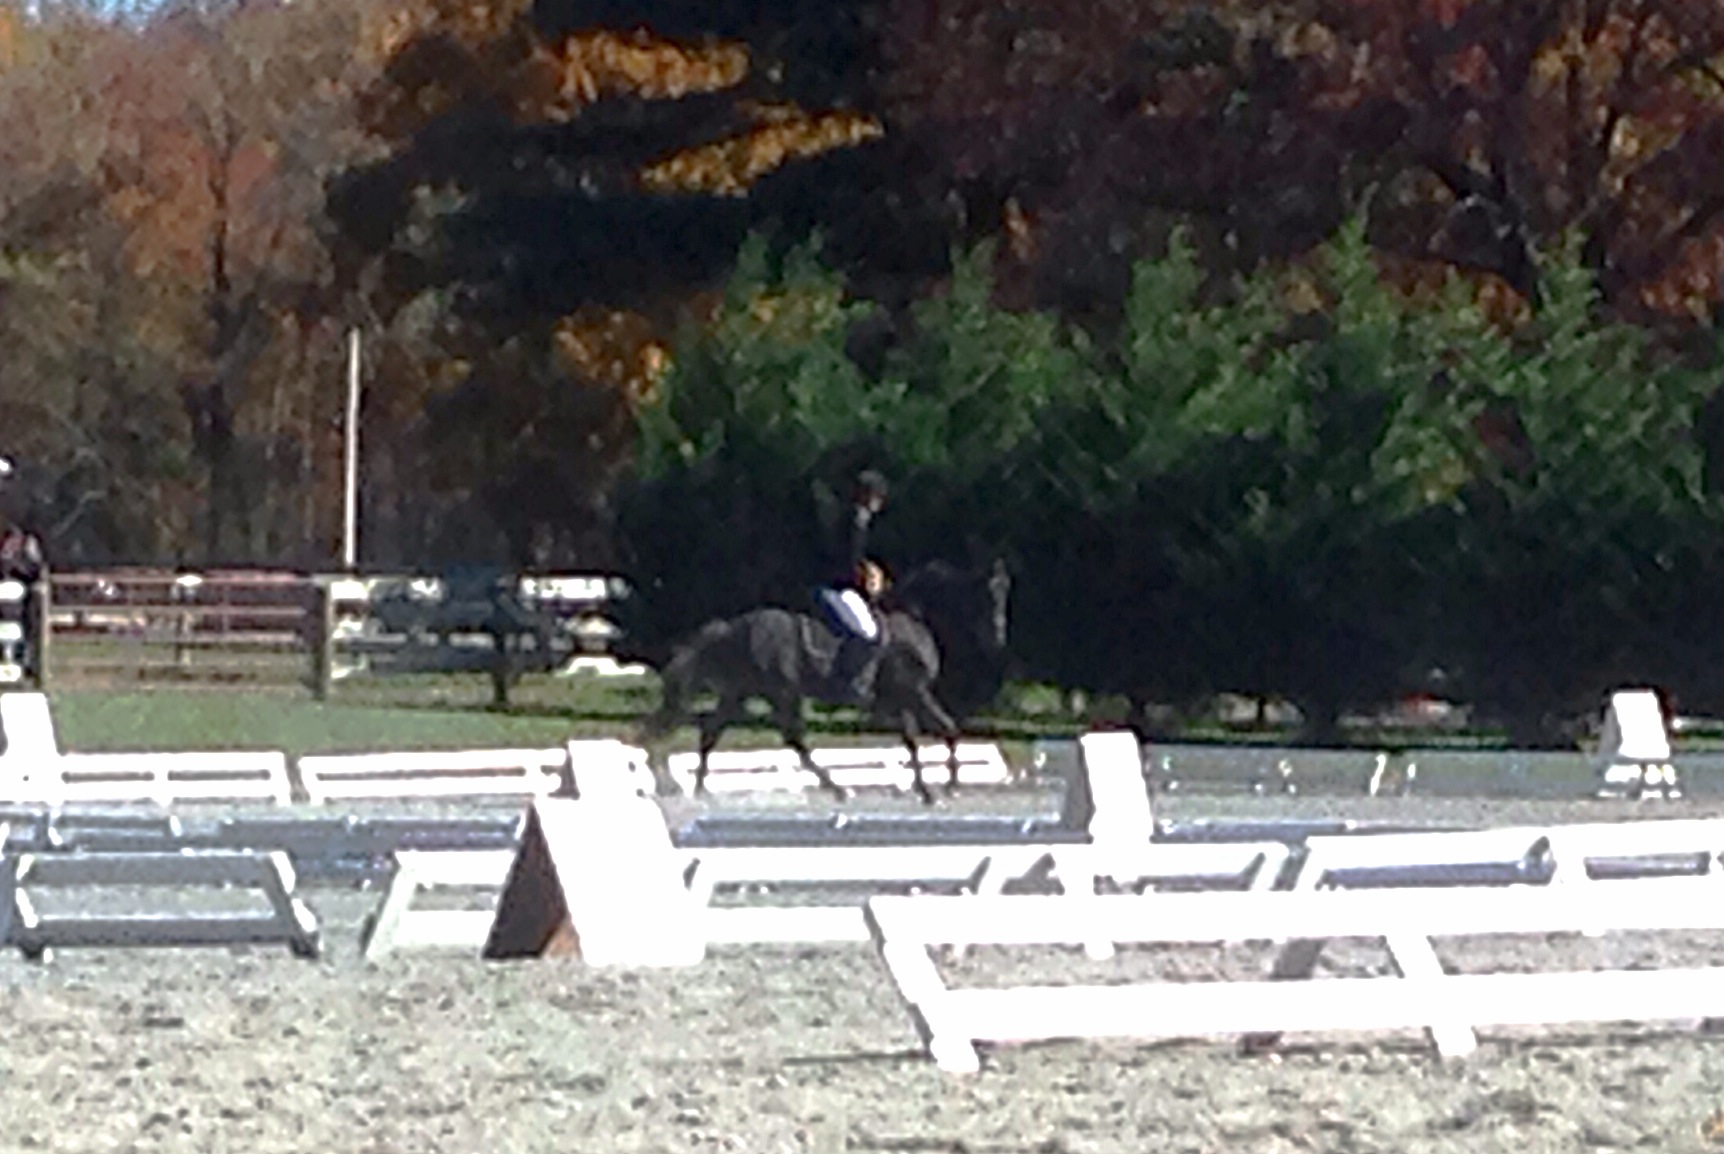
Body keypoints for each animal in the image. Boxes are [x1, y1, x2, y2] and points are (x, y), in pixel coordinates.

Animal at [637, 558, 1006, 800]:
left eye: (1003, 598)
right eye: (987, 599)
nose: (997, 639)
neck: (911, 621)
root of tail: (734, 626)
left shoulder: (903, 698)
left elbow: (919, 738)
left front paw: (931, 788)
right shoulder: (913, 692)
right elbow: (942, 730)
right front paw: (947, 786)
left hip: (743, 691)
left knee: (712, 730)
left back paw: (701, 789)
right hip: (783, 692)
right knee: (795, 740)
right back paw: (838, 789)